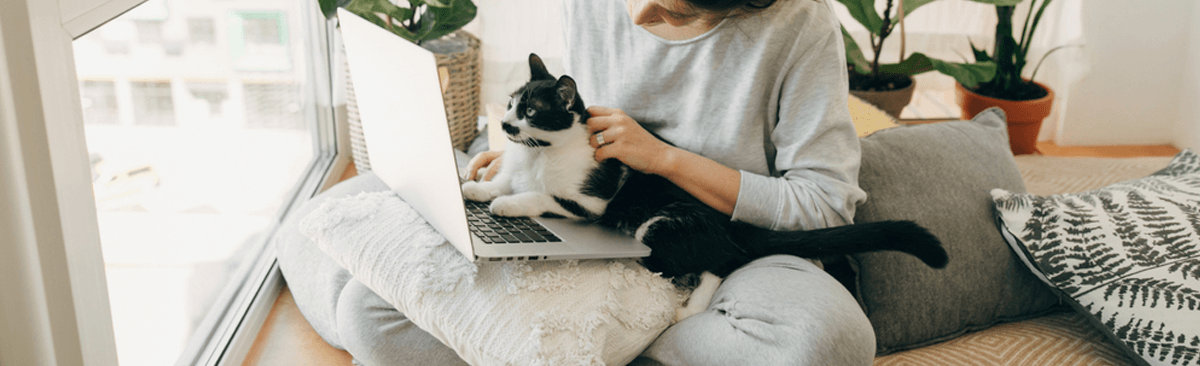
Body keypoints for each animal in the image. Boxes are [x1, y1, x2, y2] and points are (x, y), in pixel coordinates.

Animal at [460, 53, 945, 319]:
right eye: (509, 104)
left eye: (531, 112)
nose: (504, 125)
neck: (539, 153)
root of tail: (731, 225)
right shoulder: (516, 166)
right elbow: (502, 178)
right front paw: (475, 190)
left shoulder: (590, 202)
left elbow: (540, 195)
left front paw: (507, 206)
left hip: (658, 225)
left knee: (721, 263)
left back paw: (689, 304)